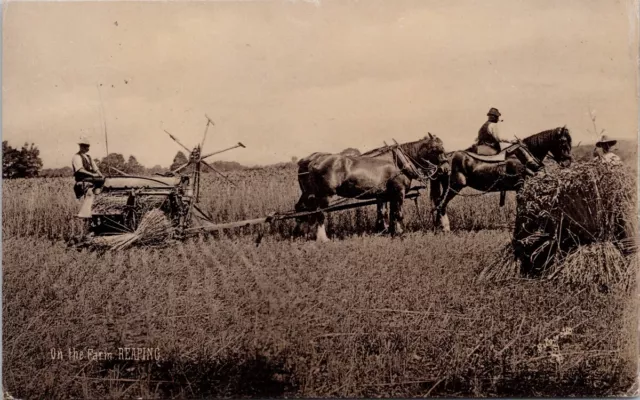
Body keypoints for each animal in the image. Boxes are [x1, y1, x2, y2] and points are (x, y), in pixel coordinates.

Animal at [296, 134, 450, 241]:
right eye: (436, 149)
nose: (446, 169)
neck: (398, 162)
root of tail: (314, 161)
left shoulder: (386, 195)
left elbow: (388, 214)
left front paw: (391, 232)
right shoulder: (399, 192)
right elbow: (398, 214)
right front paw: (401, 234)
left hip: (308, 193)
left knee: (302, 209)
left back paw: (301, 234)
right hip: (324, 195)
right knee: (319, 212)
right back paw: (323, 238)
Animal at [430, 125, 576, 231]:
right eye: (563, 142)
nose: (567, 162)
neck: (523, 157)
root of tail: (444, 160)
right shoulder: (520, 186)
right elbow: (521, 206)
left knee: (438, 202)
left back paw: (438, 226)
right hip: (455, 186)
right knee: (441, 203)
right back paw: (444, 228)